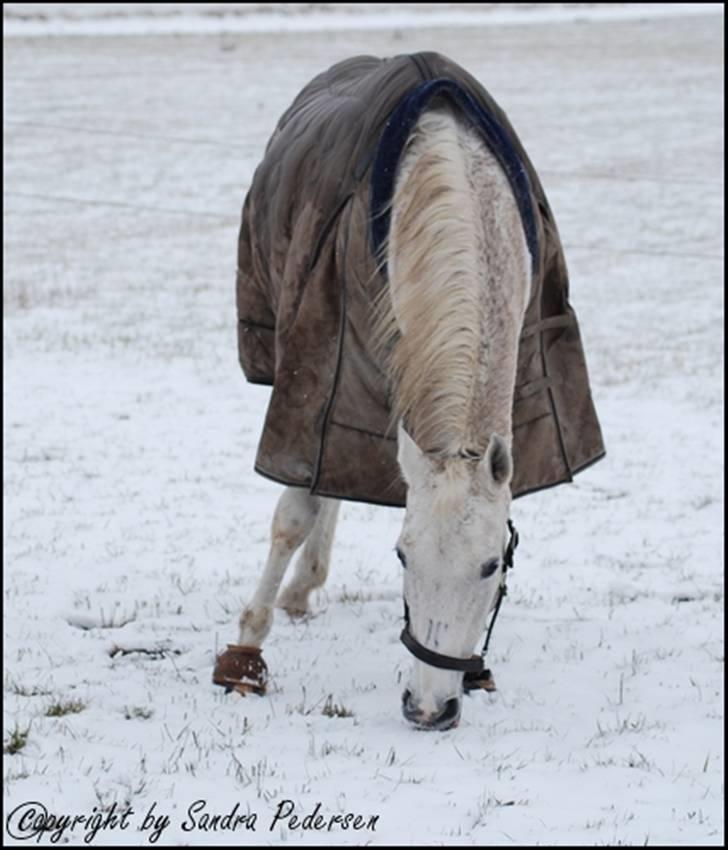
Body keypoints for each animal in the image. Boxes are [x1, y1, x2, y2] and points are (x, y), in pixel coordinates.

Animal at [213, 51, 604, 728]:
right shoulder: (315, 377)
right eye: (401, 556)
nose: (428, 708)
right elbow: (294, 511)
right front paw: (246, 652)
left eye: (491, 565)